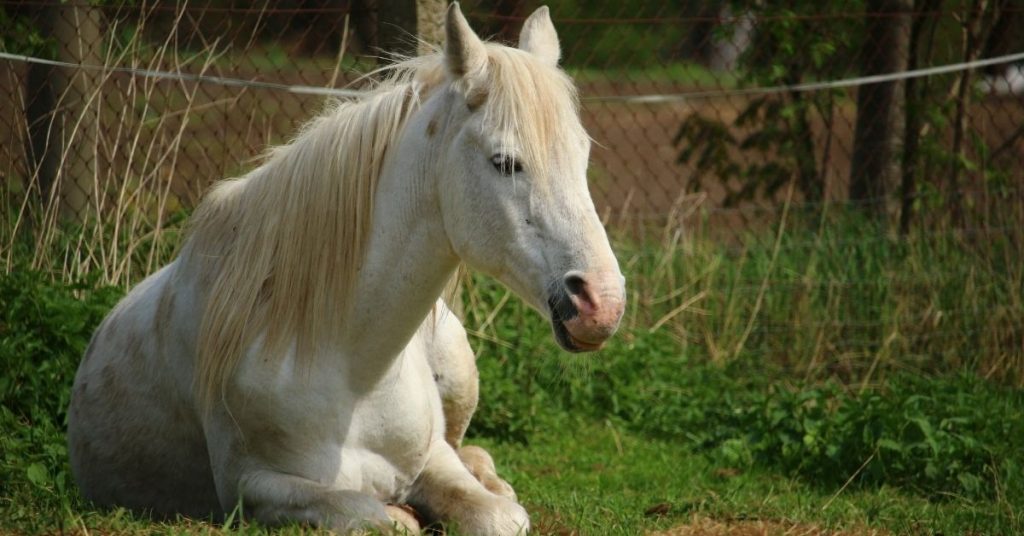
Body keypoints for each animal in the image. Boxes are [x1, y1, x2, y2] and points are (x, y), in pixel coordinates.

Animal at [67, 4, 625, 533]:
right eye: (505, 162)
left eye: (583, 155)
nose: (602, 303)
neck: (355, 370)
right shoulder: (252, 486)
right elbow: (377, 516)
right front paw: (405, 512)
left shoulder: (433, 457)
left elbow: (499, 515)